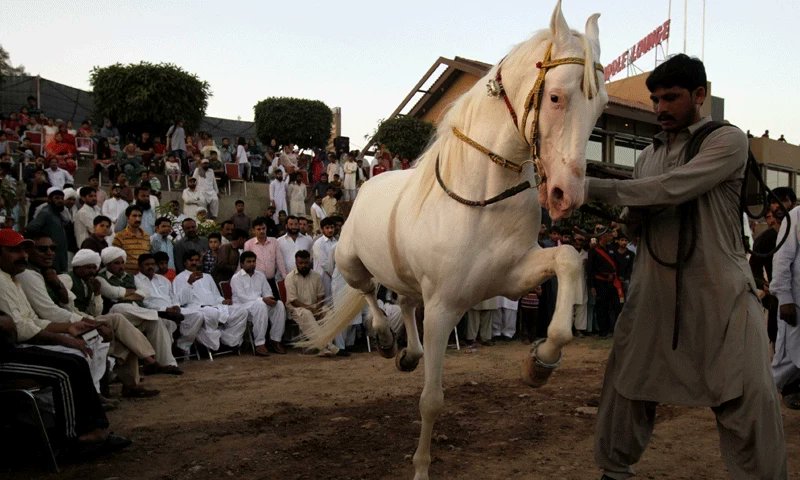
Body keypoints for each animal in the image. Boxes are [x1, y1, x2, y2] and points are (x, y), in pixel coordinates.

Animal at [300, 1, 608, 478]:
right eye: (556, 97)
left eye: (601, 109)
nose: (566, 195)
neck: (480, 196)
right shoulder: (445, 307)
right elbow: (432, 400)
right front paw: (421, 467)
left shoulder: (511, 275)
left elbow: (569, 260)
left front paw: (540, 362)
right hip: (351, 261)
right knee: (369, 292)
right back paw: (385, 341)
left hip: (411, 282)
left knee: (404, 302)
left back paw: (406, 352)